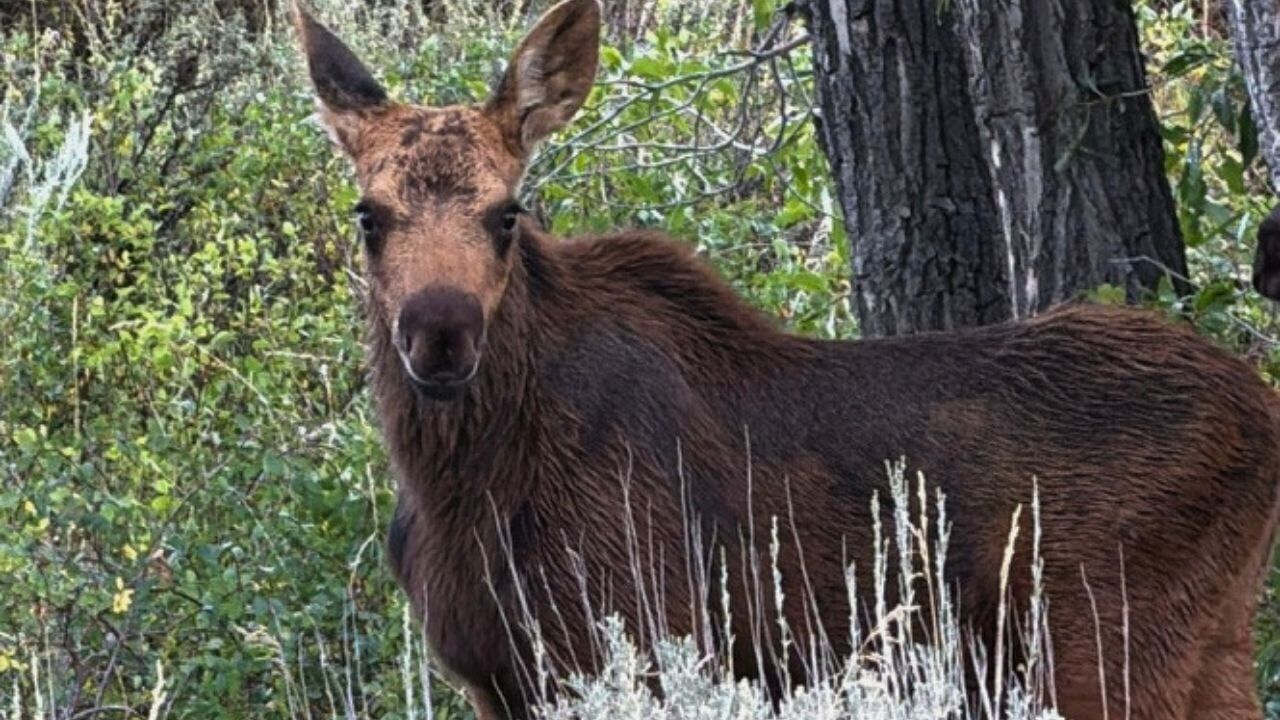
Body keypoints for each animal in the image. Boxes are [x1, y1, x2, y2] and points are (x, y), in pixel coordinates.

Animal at [290, 1, 1280, 717]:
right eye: (368, 215)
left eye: (507, 213)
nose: (440, 333)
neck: (460, 486)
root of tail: (1261, 413)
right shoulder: (498, 679)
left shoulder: (635, 639)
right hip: (1211, 642)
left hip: (1106, 646)